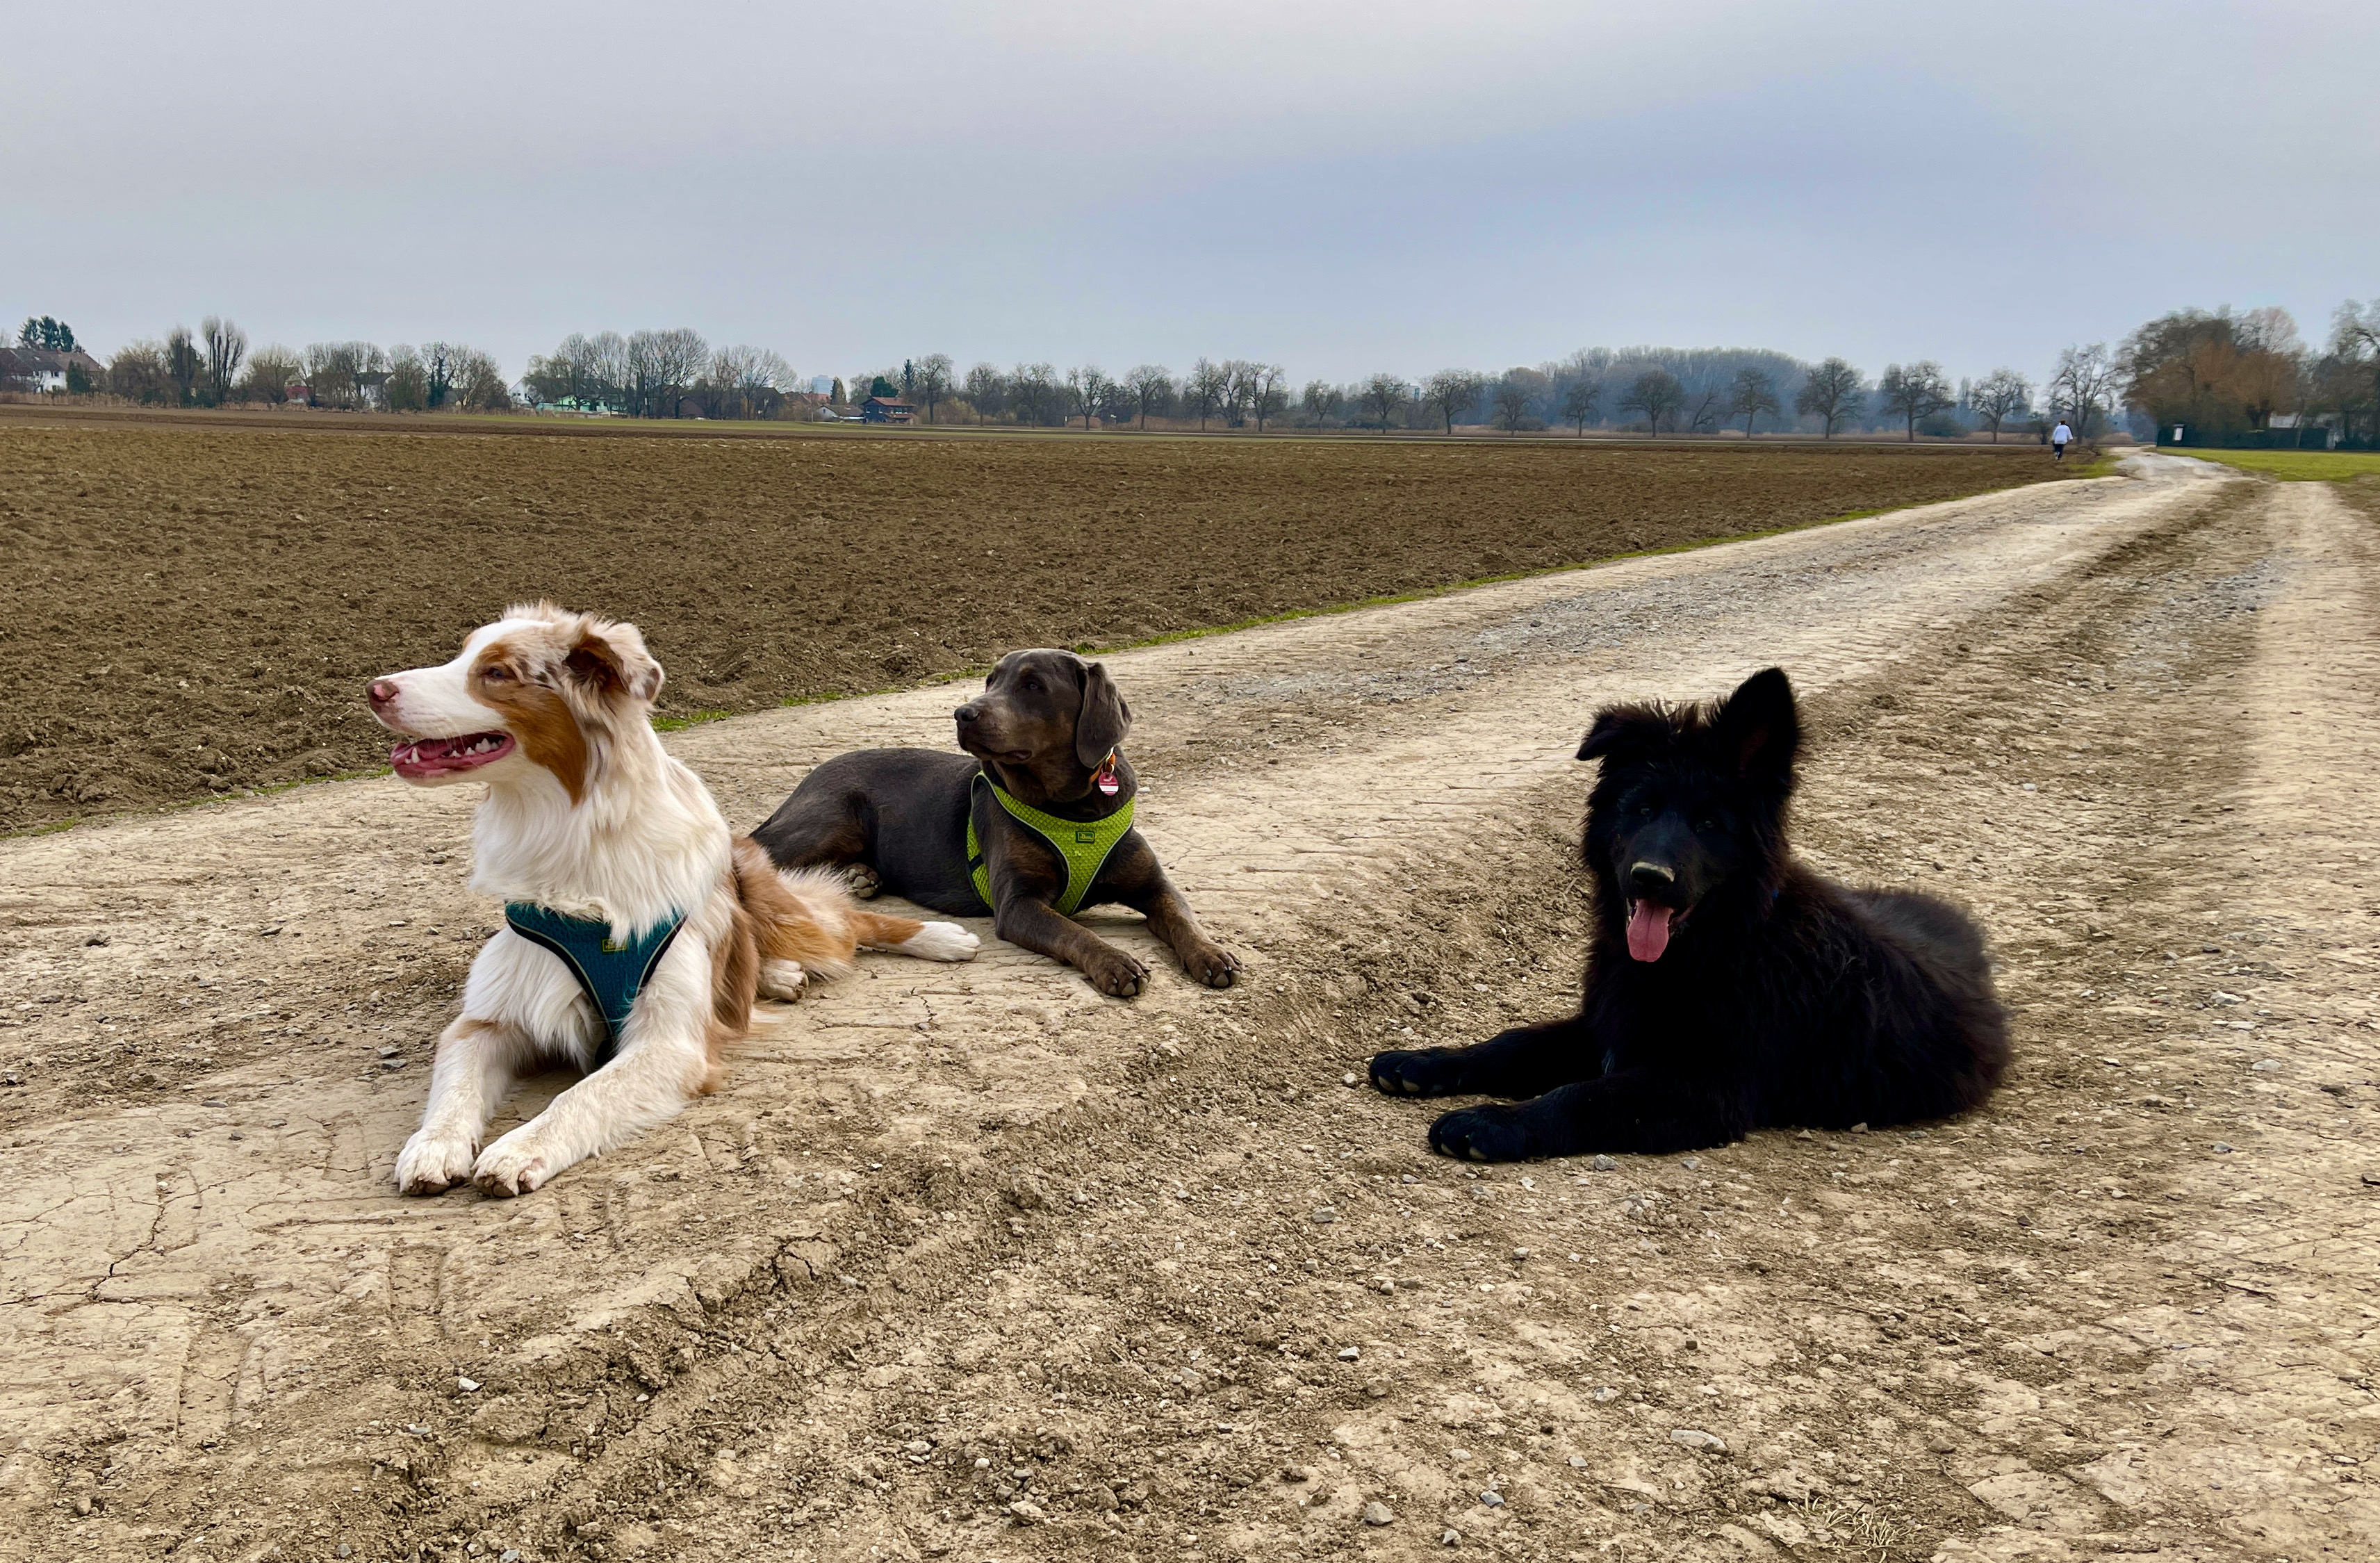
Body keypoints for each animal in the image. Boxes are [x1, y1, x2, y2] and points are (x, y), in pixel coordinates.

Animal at [364, 599, 976, 1194]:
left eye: (496, 672)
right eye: (460, 654)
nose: (375, 688)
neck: (569, 845)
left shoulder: (670, 1041)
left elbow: (580, 1095)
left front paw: (518, 1148)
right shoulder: (489, 1020)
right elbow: (455, 1082)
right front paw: (433, 1146)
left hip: (781, 908)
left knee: (849, 922)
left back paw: (940, 937)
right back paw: (777, 976)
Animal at [1380, 666, 2008, 1165]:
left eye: (1709, 824)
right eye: (1641, 809)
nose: (1650, 878)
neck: (1717, 945)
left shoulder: (1705, 1086)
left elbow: (1583, 1096)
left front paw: (1492, 1121)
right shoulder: (1608, 1025)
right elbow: (1512, 1042)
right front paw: (1425, 1061)